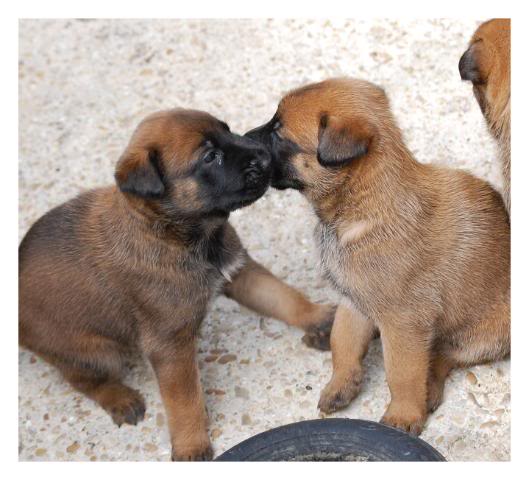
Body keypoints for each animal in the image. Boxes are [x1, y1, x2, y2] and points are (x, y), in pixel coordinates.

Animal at [19, 109, 334, 462]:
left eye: (227, 131)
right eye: (210, 157)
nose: (265, 156)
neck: (171, 234)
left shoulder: (239, 272)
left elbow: (283, 297)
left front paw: (320, 317)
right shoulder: (169, 345)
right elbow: (184, 400)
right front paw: (191, 445)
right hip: (94, 349)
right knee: (83, 379)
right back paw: (120, 398)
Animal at [248, 78, 512, 436]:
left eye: (278, 132)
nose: (240, 140)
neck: (363, 208)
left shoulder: (403, 321)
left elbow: (402, 372)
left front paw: (403, 413)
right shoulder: (353, 300)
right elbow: (343, 341)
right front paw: (341, 384)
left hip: (490, 332)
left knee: (445, 355)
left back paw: (429, 387)